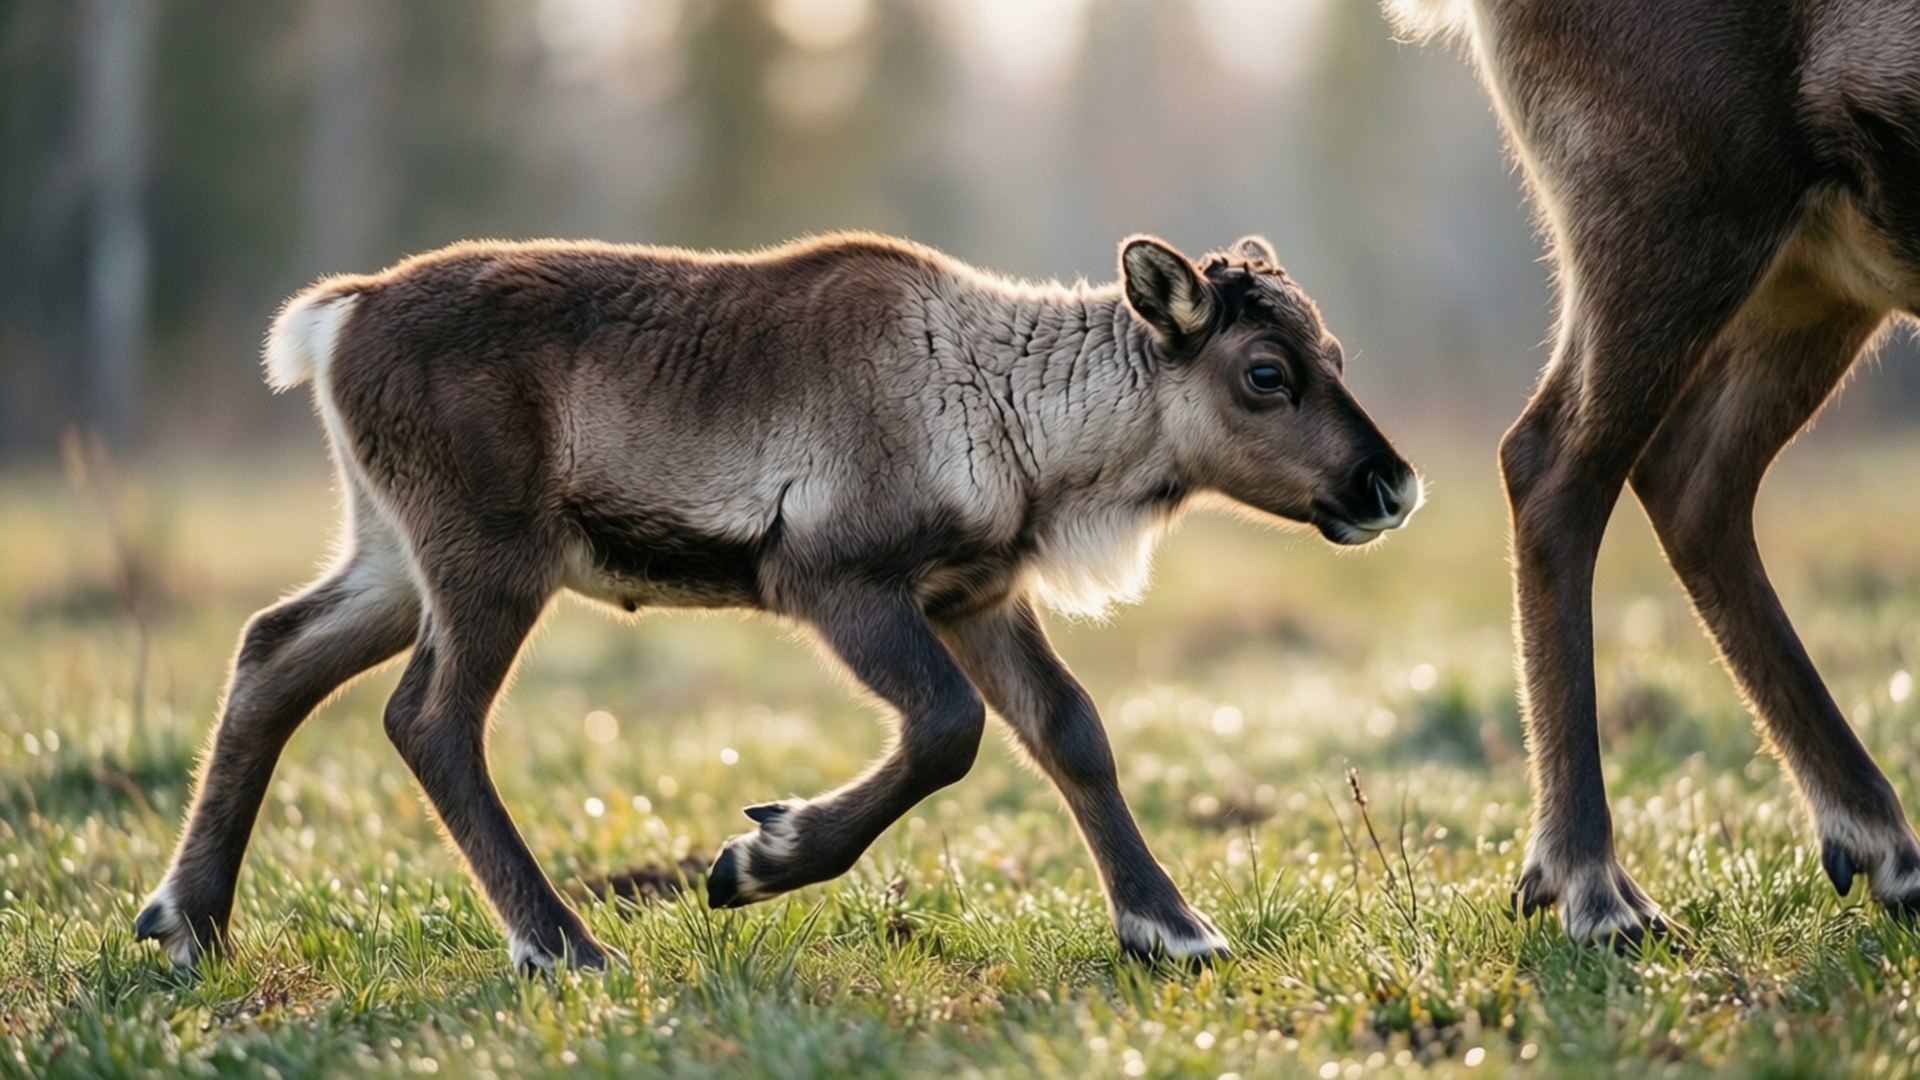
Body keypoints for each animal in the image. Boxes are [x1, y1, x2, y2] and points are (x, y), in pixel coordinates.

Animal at [134, 231, 1422, 971]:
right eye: (1266, 372)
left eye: (1339, 354)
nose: (1392, 484)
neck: (1024, 429)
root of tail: (337, 315)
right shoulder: (833, 578)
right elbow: (950, 731)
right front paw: (758, 858)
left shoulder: (979, 594)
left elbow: (1072, 734)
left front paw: (1174, 929)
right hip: (486, 555)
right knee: (428, 719)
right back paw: (563, 948)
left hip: (393, 555)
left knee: (272, 651)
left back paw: (189, 922)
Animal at [1388, 0, 1920, 946]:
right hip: (1675, 200)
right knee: (1553, 461)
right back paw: (1592, 883)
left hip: (1821, 269)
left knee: (1692, 478)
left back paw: (1878, 841)